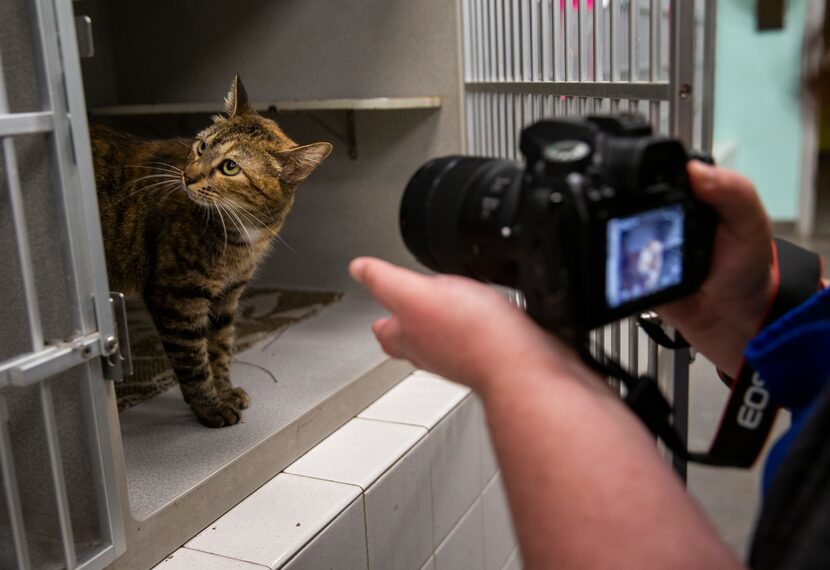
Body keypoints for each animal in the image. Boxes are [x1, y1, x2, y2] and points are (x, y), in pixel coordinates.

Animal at [92, 75, 334, 424]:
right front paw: (210, 407)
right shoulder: (177, 297)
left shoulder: (227, 296)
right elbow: (193, 359)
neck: (240, 234)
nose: (187, 176)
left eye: (231, 167)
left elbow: (219, 349)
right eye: (202, 146)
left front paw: (225, 391)